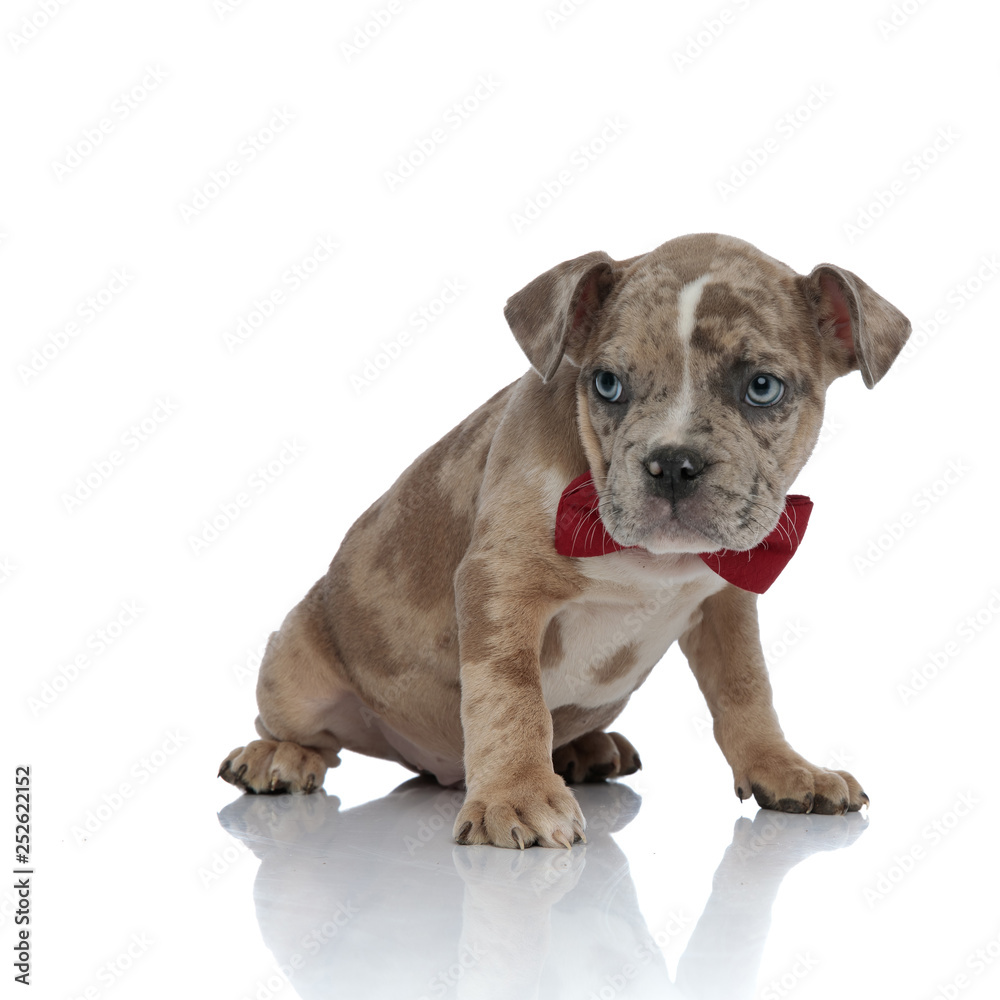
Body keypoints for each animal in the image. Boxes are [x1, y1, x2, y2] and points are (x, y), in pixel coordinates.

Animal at [223, 236, 912, 852]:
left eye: (763, 388)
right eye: (606, 383)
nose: (673, 463)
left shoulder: (726, 602)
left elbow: (747, 689)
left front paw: (783, 768)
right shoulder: (500, 585)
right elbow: (511, 696)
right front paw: (516, 797)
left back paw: (586, 748)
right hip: (296, 665)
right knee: (302, 729)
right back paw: (277, 755)